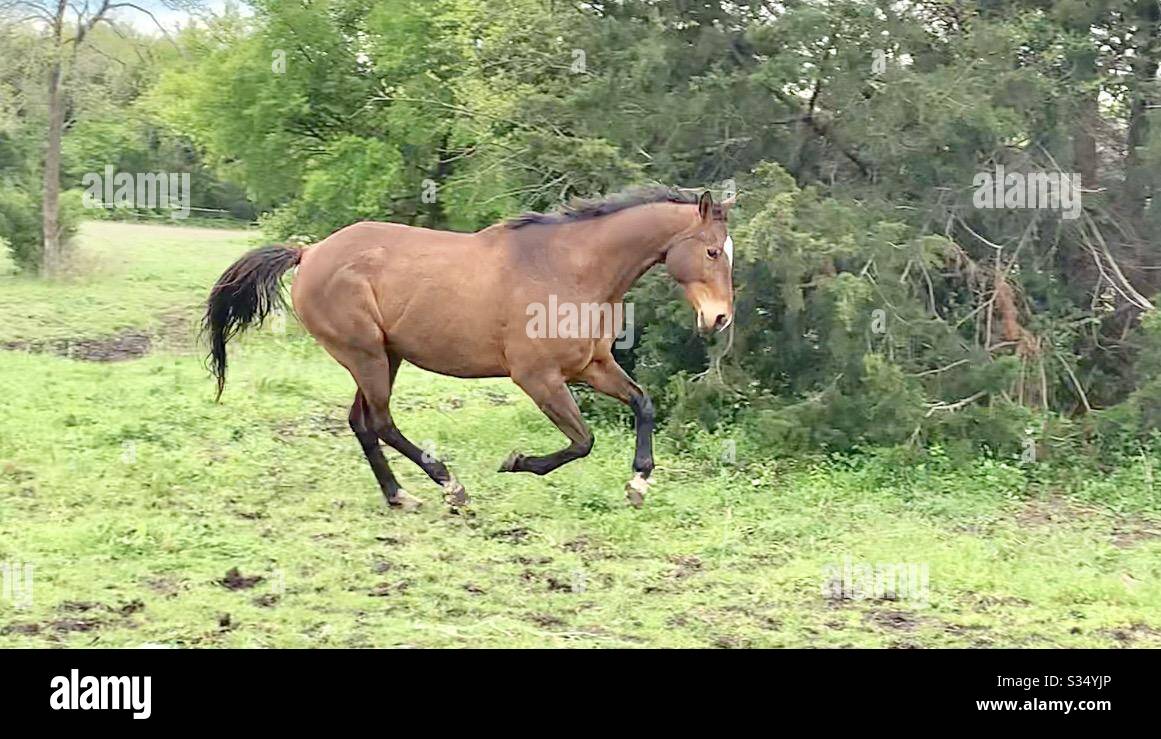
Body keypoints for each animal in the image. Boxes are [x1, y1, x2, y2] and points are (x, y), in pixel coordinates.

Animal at [205, 185, 733, 508]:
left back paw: (400, 496)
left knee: (362, 423)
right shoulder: (538, 378)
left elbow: (643, 404)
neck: (571, 269)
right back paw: (450, 486)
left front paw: (638, 482)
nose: (720, 318)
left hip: (384, 356)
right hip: (366, 355)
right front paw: (517, 463)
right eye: (711, 251)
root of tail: (310, 251)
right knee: (381, 422)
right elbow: (582, 441)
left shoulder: (593, 365)